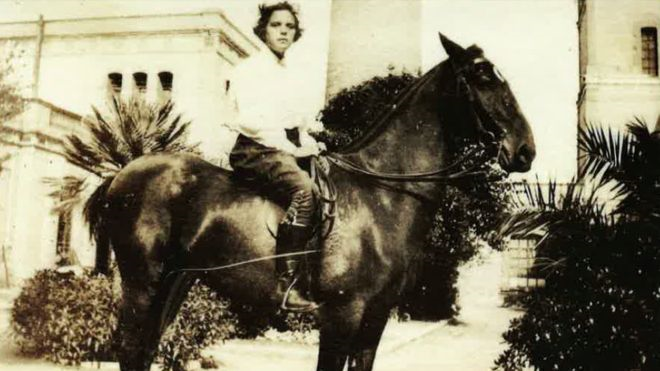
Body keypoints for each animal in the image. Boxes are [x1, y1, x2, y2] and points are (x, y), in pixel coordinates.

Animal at [93, 34, 532, 370]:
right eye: (482, 78)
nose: (525, 150)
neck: (382, 196)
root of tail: (123, 173)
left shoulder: (375, 316)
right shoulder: (342, 313)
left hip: (175, 280)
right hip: (142, 281)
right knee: (130, 349)